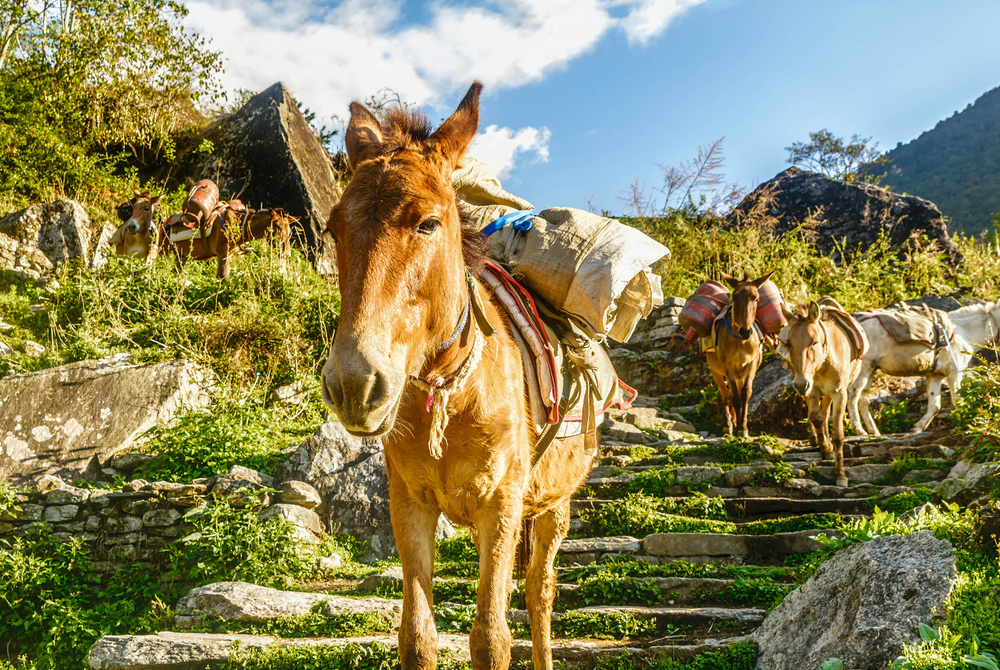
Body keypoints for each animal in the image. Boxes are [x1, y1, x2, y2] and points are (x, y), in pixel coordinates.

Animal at [161, 205, 293, 279]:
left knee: (175, 272)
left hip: (181, 255)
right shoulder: (222, 251)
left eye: (290, 231)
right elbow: (224, 276)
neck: (240, 226)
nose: (287, 254)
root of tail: (164, 223)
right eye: (278, 227)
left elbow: (220, 276)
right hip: (164, 251)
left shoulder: (229, 254)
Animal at [320, 82, 596, 670]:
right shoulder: (410, 505)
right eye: (334, 228)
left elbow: (491, 638)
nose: (354, 385)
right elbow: (418, 637)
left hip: (553, 504)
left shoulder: (502, 505)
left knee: (539, 593)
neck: (452, 388)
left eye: (428, 223)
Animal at [704, 272, 773, 437]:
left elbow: (746, 394)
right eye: (735, 297)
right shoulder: (728, 367)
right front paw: (737, 428)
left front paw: (743, 426)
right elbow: (734, 397)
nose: (745, 331)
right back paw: (728, 424)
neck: (741, 342)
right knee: (725, 394)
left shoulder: (751, 365)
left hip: (740, 374)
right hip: (716, 371)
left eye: (756, 298)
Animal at [782, 299, 865, 487]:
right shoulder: (811, 389)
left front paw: (840, 474)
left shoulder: (839, 393)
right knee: (821, 414)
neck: (824, 364)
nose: (800, 384)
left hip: (830, 392)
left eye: (814, 342)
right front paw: (825, 447)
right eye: (789, 344)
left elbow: (838, 435)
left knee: (826, 411)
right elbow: (816, 417)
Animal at [848, 301, 1000, 435]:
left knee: (863, 399)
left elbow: (935, 405)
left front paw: (917, 429)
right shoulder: (954, 372)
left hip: (871, 369)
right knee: (853, 393)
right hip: (864, 368)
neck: (963, 332)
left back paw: (874, 433)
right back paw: (859, 430)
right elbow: (957, 399)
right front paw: (965, 424)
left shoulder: (935, 375)